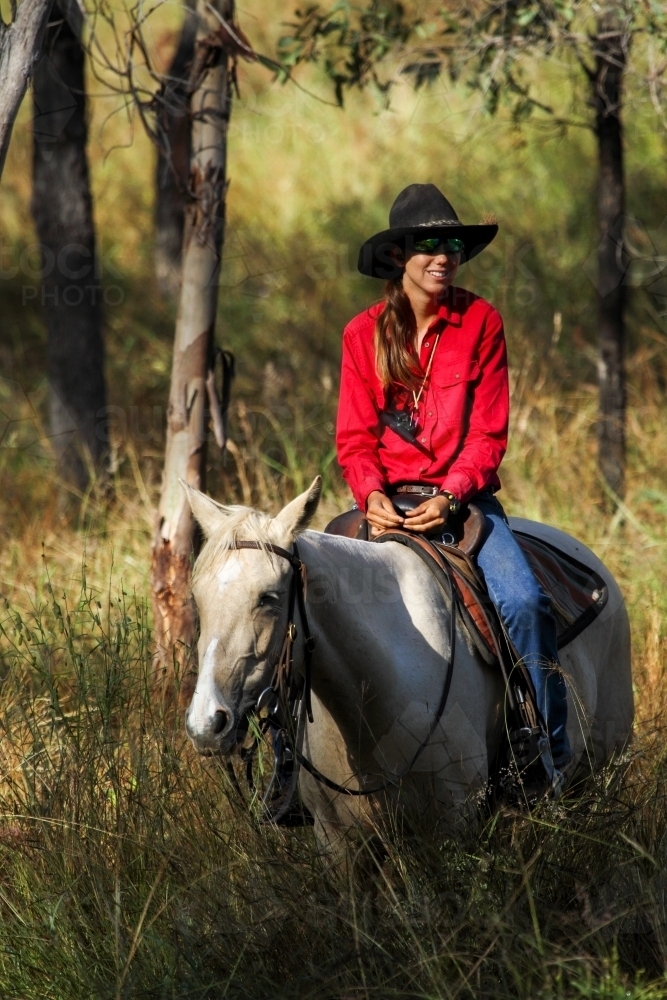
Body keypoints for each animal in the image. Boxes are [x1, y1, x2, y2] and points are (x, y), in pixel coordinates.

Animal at [185, 476, 636, 844]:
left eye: (269, 597)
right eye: (198, 597)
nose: (206, 724)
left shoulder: (453, 825)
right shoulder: (338, 841)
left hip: (601, 768)